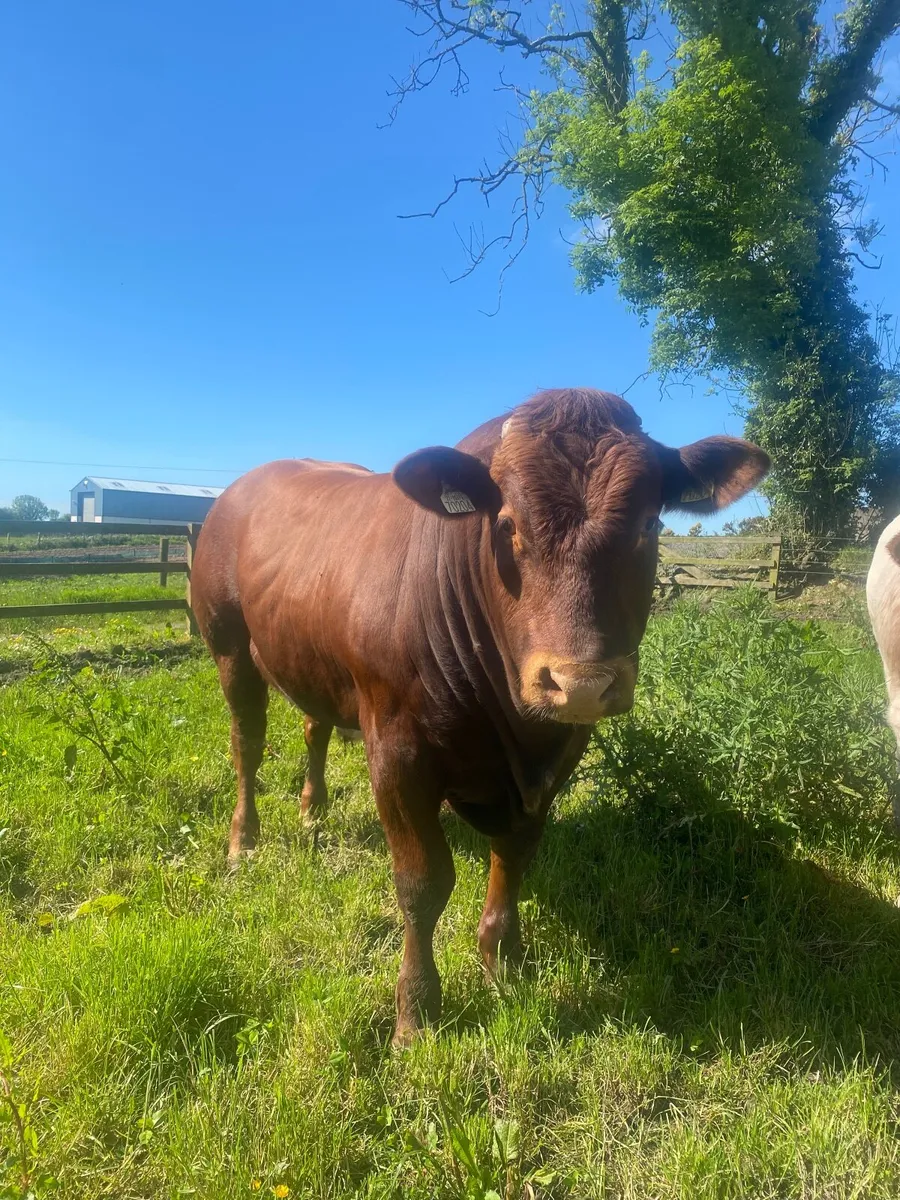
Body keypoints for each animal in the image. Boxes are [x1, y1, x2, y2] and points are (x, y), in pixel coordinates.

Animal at [191, 388, 769, 1045]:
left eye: (650, 524)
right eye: (508, 524)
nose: (581, 682)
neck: (512, 729)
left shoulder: (555, 758)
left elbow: (514, 855)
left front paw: (504, 962)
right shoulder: (397, 752)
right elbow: (423, 883)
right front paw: (416, 1012)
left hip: (311, 663)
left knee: (314, 727)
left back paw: (313, 811)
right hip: (229, 646)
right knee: (247, 743)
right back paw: (244, 842)